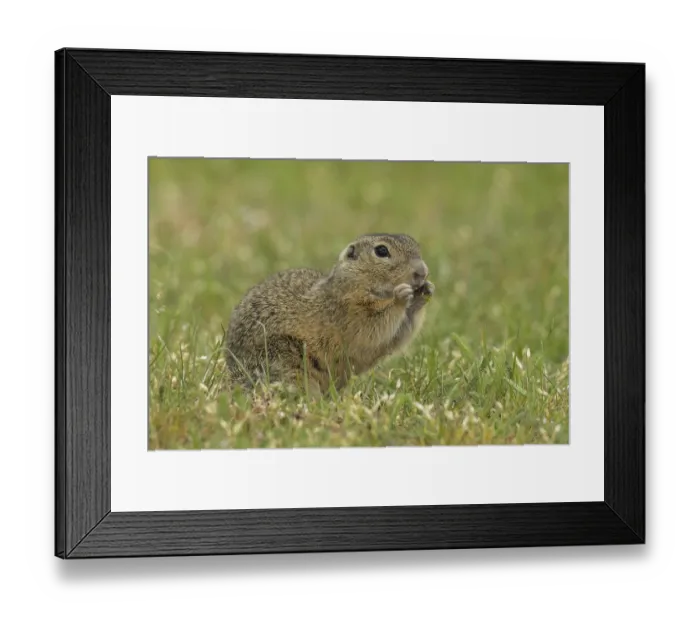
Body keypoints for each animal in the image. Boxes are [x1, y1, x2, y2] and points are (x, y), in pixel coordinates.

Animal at [224, 233, 434, 396]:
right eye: (382, 251)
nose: (423, 272)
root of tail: (233, 374)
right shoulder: (349, 310)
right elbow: (374, 325)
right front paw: (401, 297)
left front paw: (424, 293)